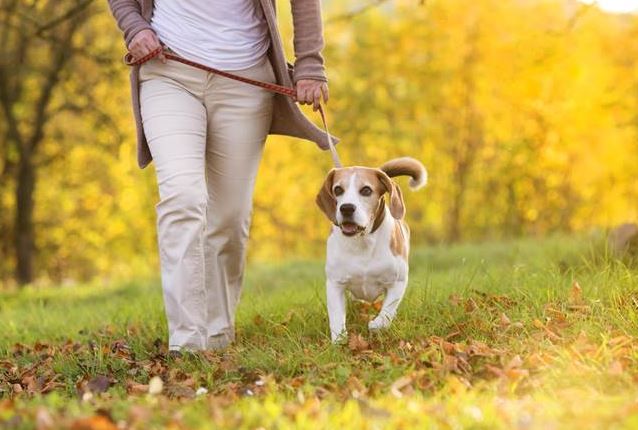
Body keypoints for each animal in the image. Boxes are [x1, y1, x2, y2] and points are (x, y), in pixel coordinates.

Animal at [316, 156, 428, 340]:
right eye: (338, 189)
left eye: (366, 190)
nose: (346, 208)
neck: (363, 241)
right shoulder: (335, 283)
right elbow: (337, 317)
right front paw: (339, 340)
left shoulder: (398, 282)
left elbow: (388, 310)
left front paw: (377, 324)